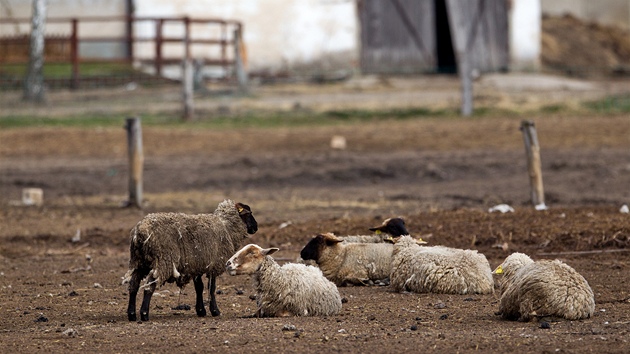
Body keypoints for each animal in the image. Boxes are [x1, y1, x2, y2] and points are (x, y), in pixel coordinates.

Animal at [123, 199, 260, 320]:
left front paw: (201, 310)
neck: (227, 227)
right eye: (249, 213)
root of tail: (139, 233)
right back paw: (144, 314)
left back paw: (132, 314)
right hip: (163, 261)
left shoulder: (196, 264)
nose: (256, 227)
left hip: (139, 262)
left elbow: (199, 287)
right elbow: (212, 288)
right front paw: (215, 311)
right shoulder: (214, 264)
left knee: (133, 286)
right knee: (149, 286)